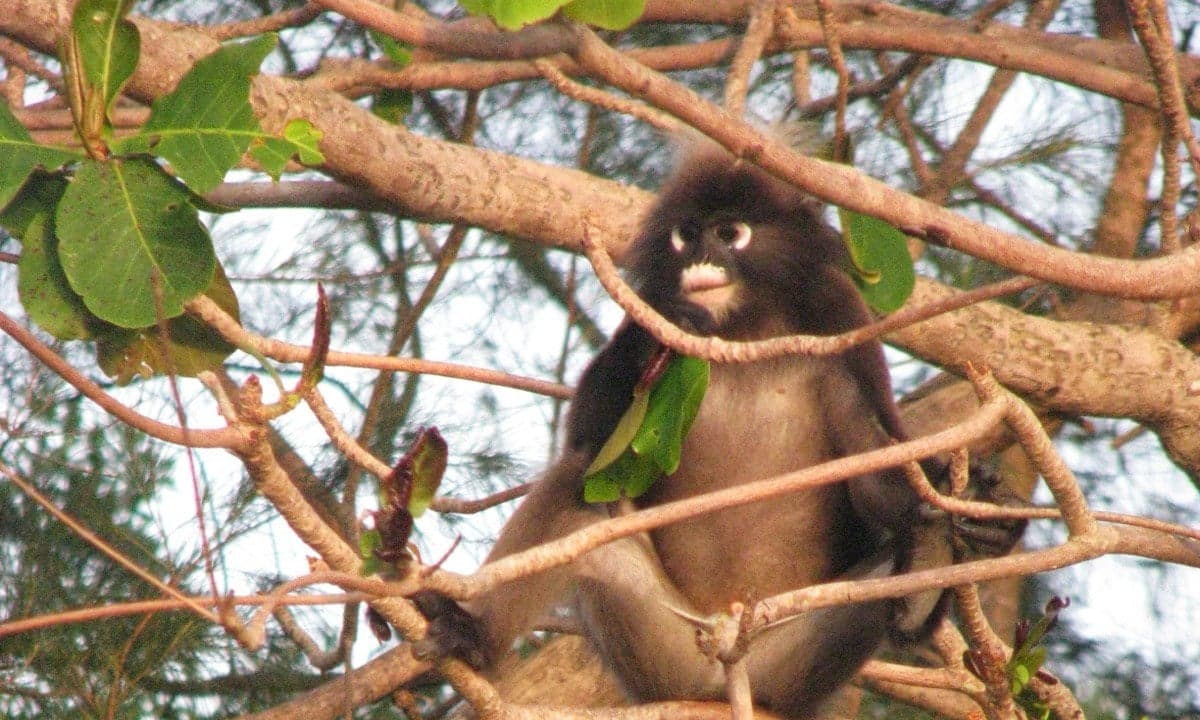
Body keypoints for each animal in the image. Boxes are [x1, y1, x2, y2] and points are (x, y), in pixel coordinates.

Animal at [415, 144, 1022, 718]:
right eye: (686, 236)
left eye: (731, 234)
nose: (701, 258)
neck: (744, 327)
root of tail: (723, 671)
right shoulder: (644, 309)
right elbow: (589, 442)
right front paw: (665, 334)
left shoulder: (841, 318)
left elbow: (872, 471)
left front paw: (988, 514)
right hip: (661, 653)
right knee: (578, 490)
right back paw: (470, 634)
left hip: (789, 668)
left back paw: (930, 562)